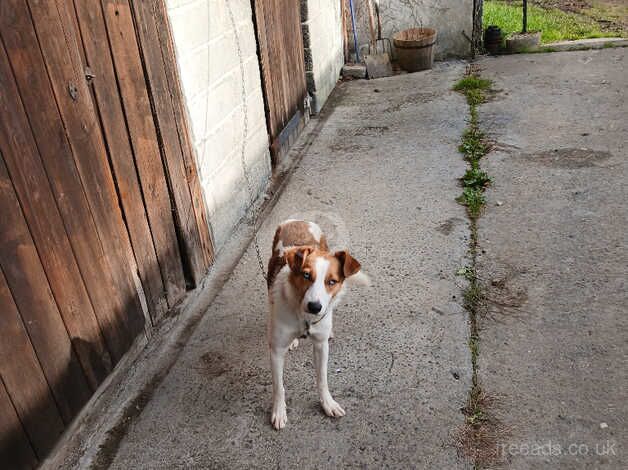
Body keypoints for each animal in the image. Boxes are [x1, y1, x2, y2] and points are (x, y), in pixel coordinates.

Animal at [266, 219, 366, 430]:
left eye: (332, 281)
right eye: (306, 275)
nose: (314, 306)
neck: (304, 318)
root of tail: (299, 220)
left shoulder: (320, 345)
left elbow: (322, 379)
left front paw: (327, 403)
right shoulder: (276, 350)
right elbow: (279, 386)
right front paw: (279, 411)